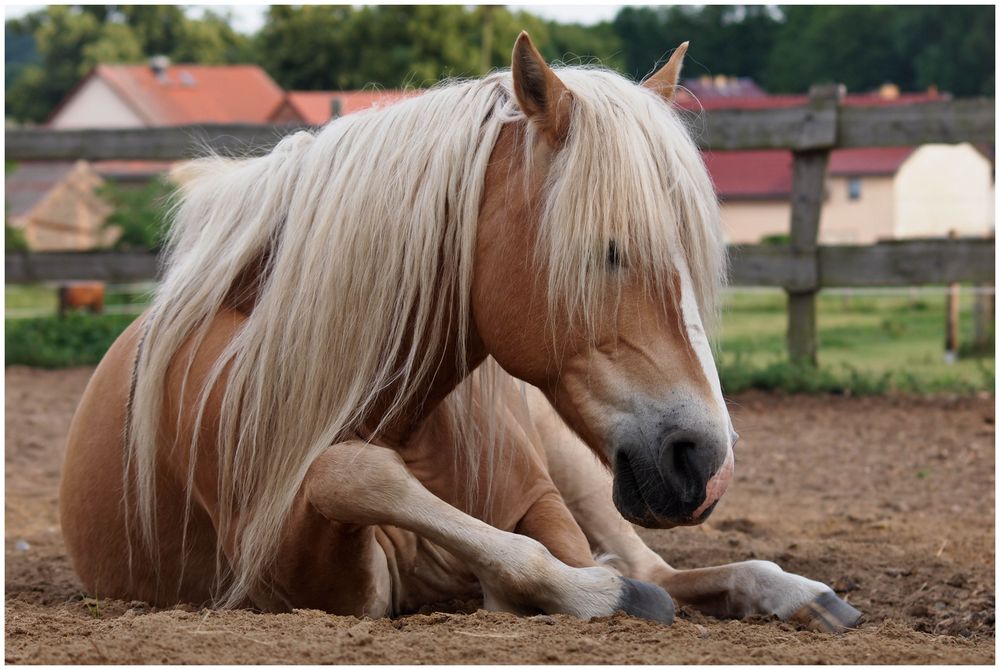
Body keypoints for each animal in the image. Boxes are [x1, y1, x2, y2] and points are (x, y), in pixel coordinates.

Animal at [60, 35, 860, 636]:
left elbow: (552, 550)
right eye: (606, 251)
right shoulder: (303, 578)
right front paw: (585, 594)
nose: (708, 462)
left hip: (578, 460)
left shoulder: (540, 496)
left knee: (655, 564)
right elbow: (349, 470)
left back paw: (799, 593)